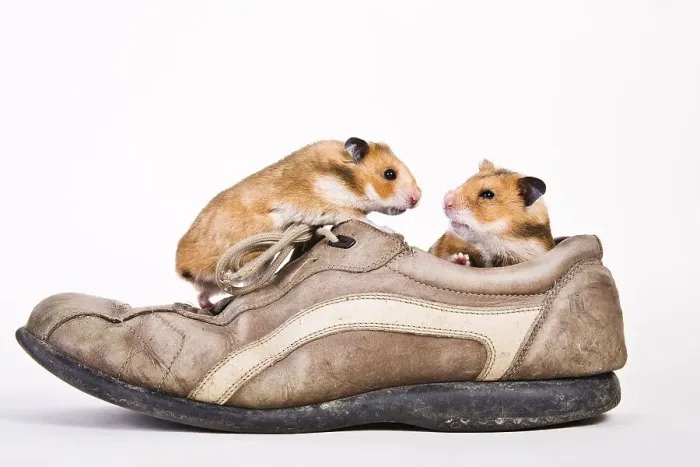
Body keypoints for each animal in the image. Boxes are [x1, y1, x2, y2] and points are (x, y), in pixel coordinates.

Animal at [177, 137, 422, 308]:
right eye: (389, 174)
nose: (417, 198)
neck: (346, 181)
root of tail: (181, 267)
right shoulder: (333, 208)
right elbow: (364, 219)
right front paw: (393, 231)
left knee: (203, 294)